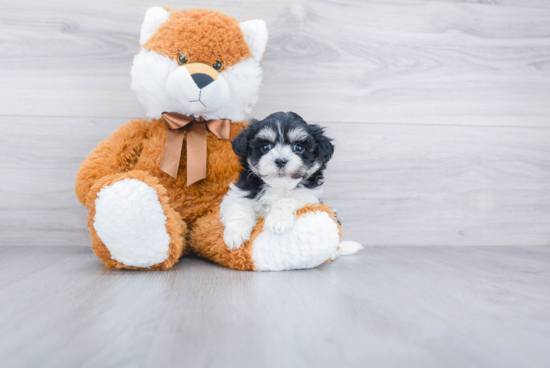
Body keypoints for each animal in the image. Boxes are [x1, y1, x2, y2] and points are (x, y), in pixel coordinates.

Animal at [222, 112, 364, 256]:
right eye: (266, 147)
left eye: (298, 148)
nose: (280, 160)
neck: (279, 186)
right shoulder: (240, 193)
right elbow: (239, 207)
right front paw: (235, 235)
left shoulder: (309, 197)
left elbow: (288, 200)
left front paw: (277, 220)